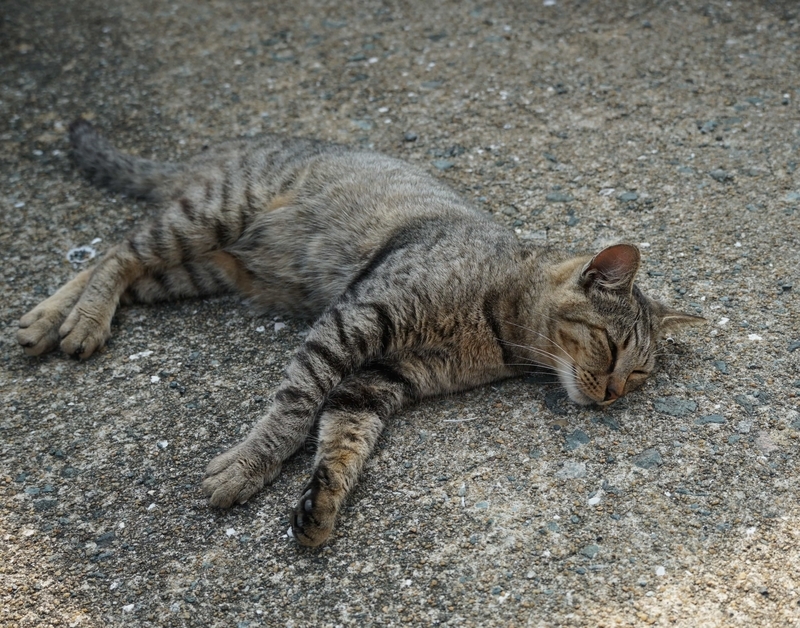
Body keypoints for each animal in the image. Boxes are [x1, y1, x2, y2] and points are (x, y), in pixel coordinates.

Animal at [18, 120, 704, 548]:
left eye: (639, 373)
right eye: (611, 349)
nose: (612, 396)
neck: (497, 326)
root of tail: (217, 150)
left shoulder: (380, 378)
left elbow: (342, 438)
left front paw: (321, 501)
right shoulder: (356, 320)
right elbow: (294, 411)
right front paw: (247, 467)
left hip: (199, 268)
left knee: (115, 264)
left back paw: (49, 319)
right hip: (209, 216)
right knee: (118, 252)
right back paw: (77, 322)